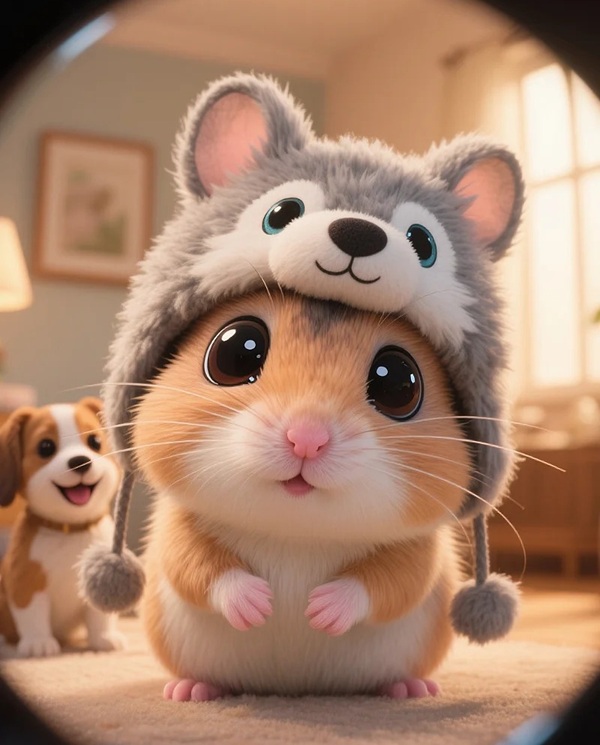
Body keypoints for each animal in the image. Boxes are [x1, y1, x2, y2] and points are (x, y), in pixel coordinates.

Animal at [133, 289, 471, 700]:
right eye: (234, 352)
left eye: (399, 384)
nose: (306, 439)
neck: (295, 529)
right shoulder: (178, 525)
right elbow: (196, 564)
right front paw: (260, 605)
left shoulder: (418, 547)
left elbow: (395, 581)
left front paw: (319, 610)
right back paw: (192, 690)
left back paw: (409, 688)